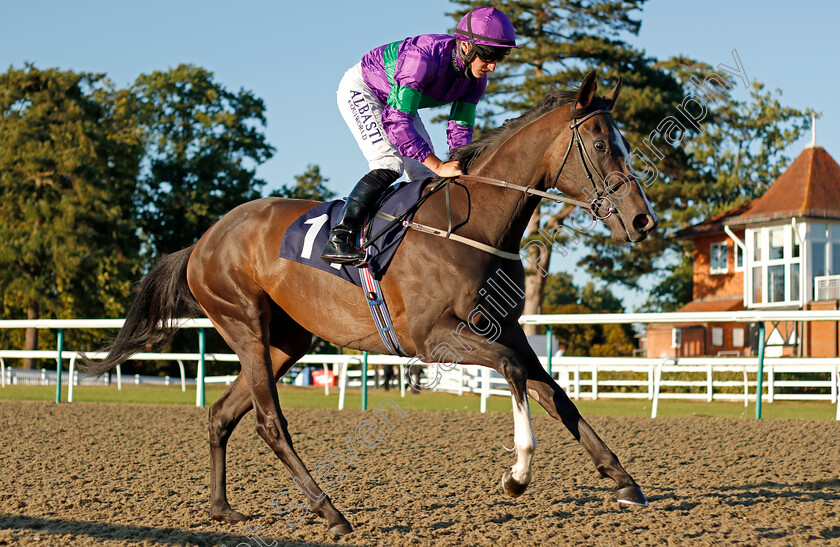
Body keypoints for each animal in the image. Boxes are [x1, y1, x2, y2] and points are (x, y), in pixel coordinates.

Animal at [80, 70, 656, 536]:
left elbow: (557, 394)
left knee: (223, 413)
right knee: (269, 422)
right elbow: (515, 374)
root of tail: (202, 242)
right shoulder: (434, 337)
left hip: (285, 341)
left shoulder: (504, 328)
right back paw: (329, 511)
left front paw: (625, 481)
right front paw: (517, 476)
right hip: (243, 322)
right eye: (601, 145)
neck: (472, 226)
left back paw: (222, 508)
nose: (642, 219)